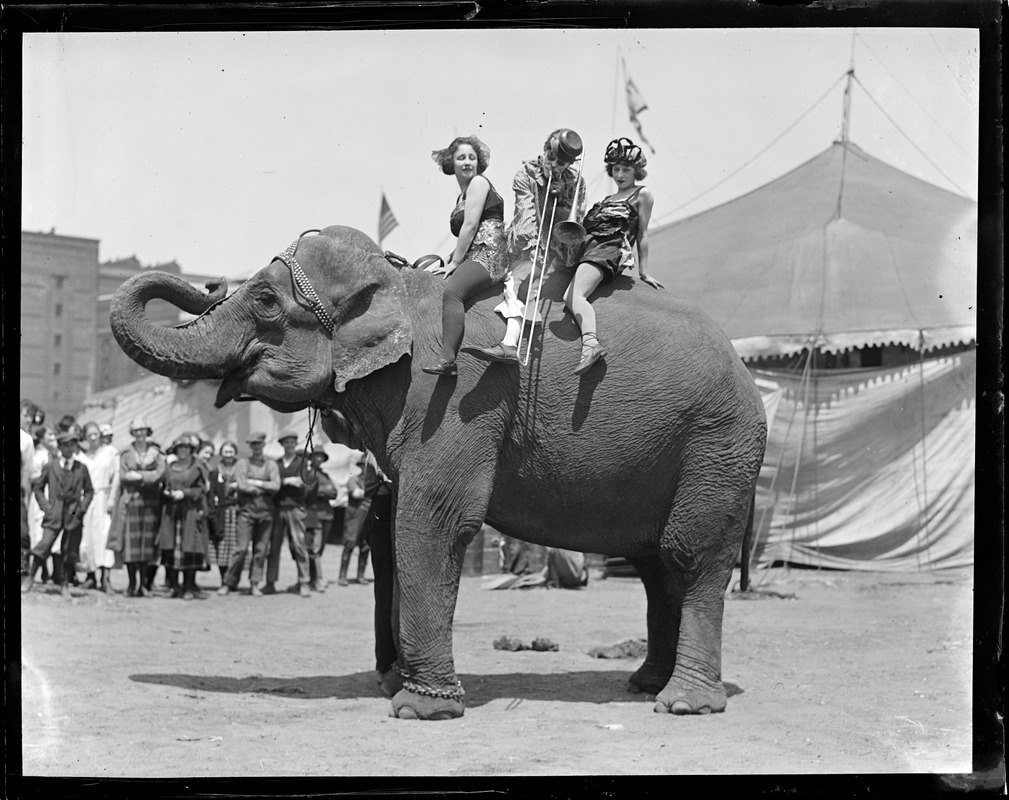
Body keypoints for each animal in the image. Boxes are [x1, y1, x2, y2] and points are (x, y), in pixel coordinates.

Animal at [110, 222, 766, 718]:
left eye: (267, 301)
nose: (209, 280)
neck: (398, 280)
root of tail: (741, 366)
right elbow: (403, 528)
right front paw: (401, 688)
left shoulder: (449, 397)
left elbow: (434, 522)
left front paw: (420, 709)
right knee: (655, 564)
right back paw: (645, 683)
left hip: (718, 442)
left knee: (691, 553)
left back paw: (682, 703)